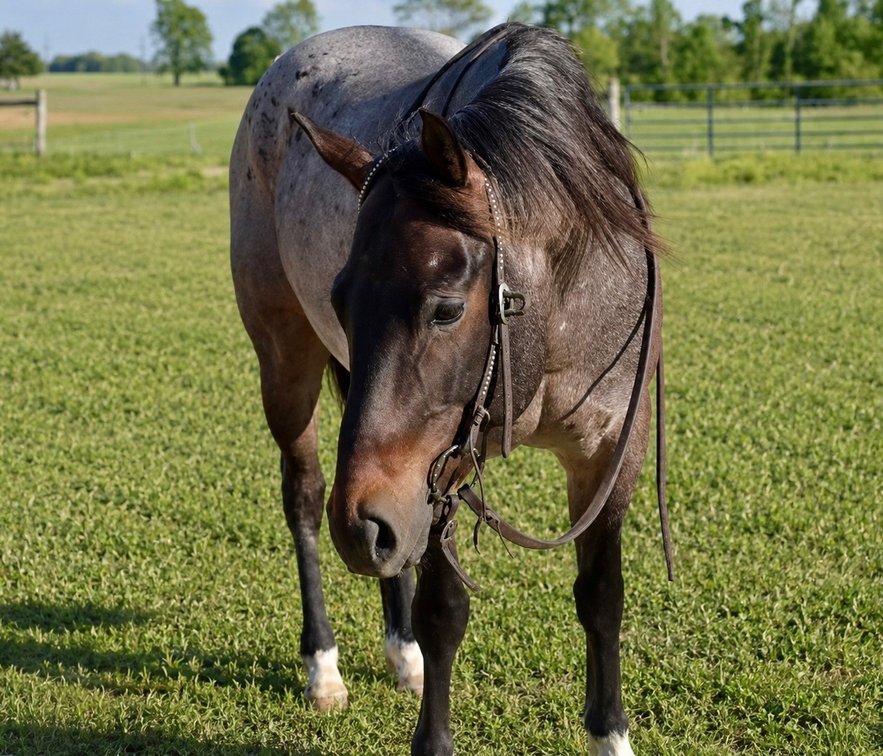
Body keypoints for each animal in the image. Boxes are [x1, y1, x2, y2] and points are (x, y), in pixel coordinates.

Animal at [230, 23, 667, 756]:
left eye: (445, 308)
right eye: (340, 299)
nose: (359, 525)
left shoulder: (610, 453)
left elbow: (602, 596)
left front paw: (611, 734)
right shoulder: (443, 466)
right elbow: (445, 611)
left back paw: (400, 651)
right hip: (287, 367)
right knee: (306, 498)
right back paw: (323, 665)